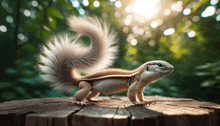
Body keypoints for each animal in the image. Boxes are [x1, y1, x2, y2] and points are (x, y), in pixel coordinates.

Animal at [38, 16, 174, 106]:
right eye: (159, 64)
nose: (172, 67)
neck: (141, 76)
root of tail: (78, 79)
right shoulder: (135, 84)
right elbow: (131, 95)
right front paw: (138, 103)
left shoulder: (140, 88)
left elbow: (140, 95)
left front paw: (146, 101)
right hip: (85, 85)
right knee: (81, 94)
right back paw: (78, 102)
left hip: (95, 90)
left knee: (90, 96)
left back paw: (97, 100)